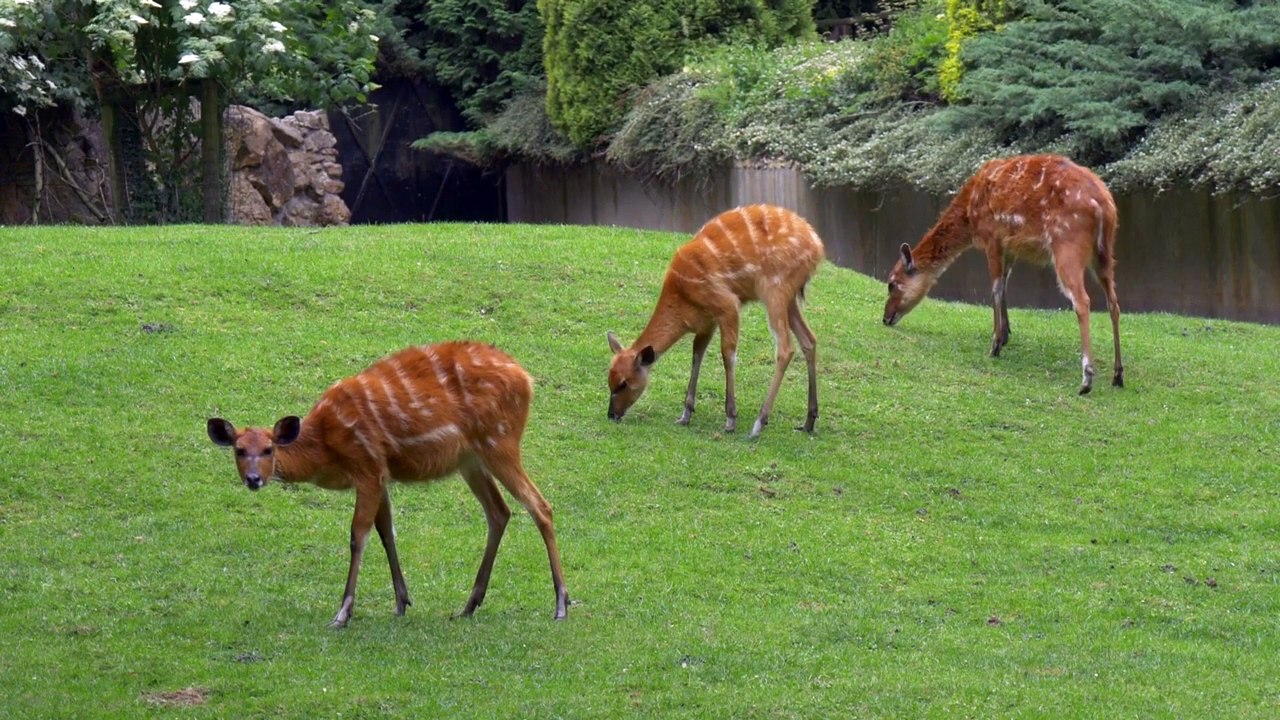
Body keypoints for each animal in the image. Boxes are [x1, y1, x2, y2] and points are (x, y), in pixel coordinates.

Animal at [206, 341, 569, 628]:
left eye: (269, 449)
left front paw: (342, 614)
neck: (325, 447)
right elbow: (386, 531)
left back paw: (561, 604)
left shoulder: (367, 467)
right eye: (239, 450)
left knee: (540, 505)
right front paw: (401, 602)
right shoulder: (381, 474)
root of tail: (526, 379)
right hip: (470, 460)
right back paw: (467, 606)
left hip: (499, 441)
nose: (254, 479)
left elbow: (359, 535)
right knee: (499, 511)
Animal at [607, 204, 825, 439]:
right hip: (789, 297)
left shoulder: (727, 305)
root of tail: (817, 247)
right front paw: (685, 415)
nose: (611, 414)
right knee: (809, 339)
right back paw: (808, 421)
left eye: (623, 384)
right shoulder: (707, 321)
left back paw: (758, 424)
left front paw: (730, 419)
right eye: (609, 380)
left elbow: (727, 354)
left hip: (774, 289)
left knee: (785, 348)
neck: (682, 296)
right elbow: (697, 353)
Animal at [883, 154, 1123, 395]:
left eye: (892, 283)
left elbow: (996, 288)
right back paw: (1118, 375)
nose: (885, 318)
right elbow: (1005, 285)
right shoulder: (1010, 246)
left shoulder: (992, 237)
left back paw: (1086, 379)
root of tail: (1104, 205)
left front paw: (995, 344)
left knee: (1082, 300)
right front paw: (1006, 333)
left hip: (1067, 244)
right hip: (1105, 253)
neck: (970, 213)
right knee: (1113, 303)